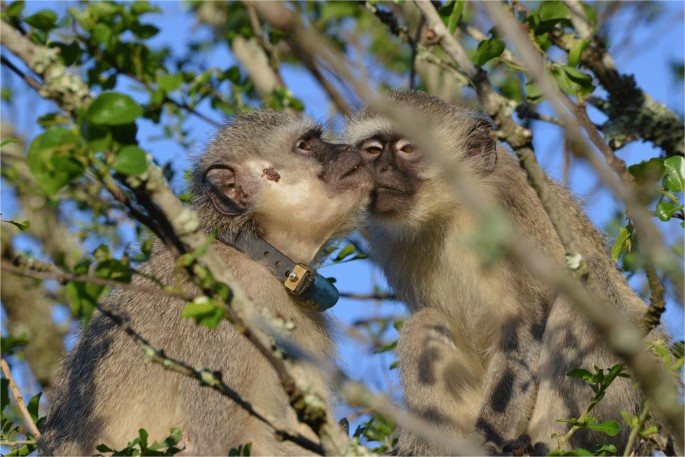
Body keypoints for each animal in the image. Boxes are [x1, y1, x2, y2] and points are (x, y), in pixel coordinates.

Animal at [344, 90, 659, 455]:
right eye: (372, 150)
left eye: (408, 149)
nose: (379, 168)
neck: (450, 212)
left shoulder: (509, 217)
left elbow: (523, 328)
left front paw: (489, 437)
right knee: (422, 325)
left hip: (617, 406)